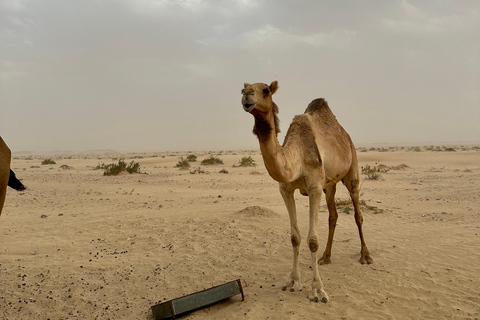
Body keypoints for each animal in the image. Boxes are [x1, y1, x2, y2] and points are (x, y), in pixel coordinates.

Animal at [242, 80, 374, 302]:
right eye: (242, 89)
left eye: (265, 90)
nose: (247, 96)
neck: (297, 157)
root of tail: (346, 136)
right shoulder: (285, 189)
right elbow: (295, 237)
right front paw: (293, 282)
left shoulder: (314, 188)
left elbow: (312, 240)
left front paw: (318, 291)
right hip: (330, 185)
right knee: (333, 215)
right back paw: (326, 257)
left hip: (352, 168)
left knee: (358, 213)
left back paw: (365, 256)